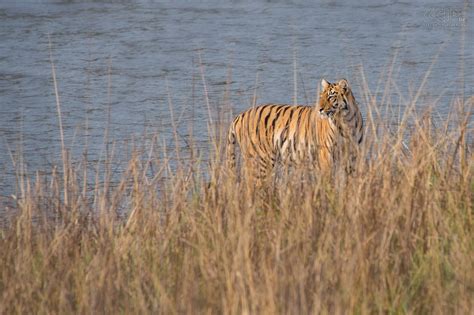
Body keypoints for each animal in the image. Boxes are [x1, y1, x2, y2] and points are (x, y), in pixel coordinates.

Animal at [226, 79, 362, 180]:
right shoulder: (326, 155)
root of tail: (240, 115)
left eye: (331, 97)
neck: (346, 121)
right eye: (321, 96)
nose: (319, 109)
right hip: (261, 160)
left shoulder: (353, 155)